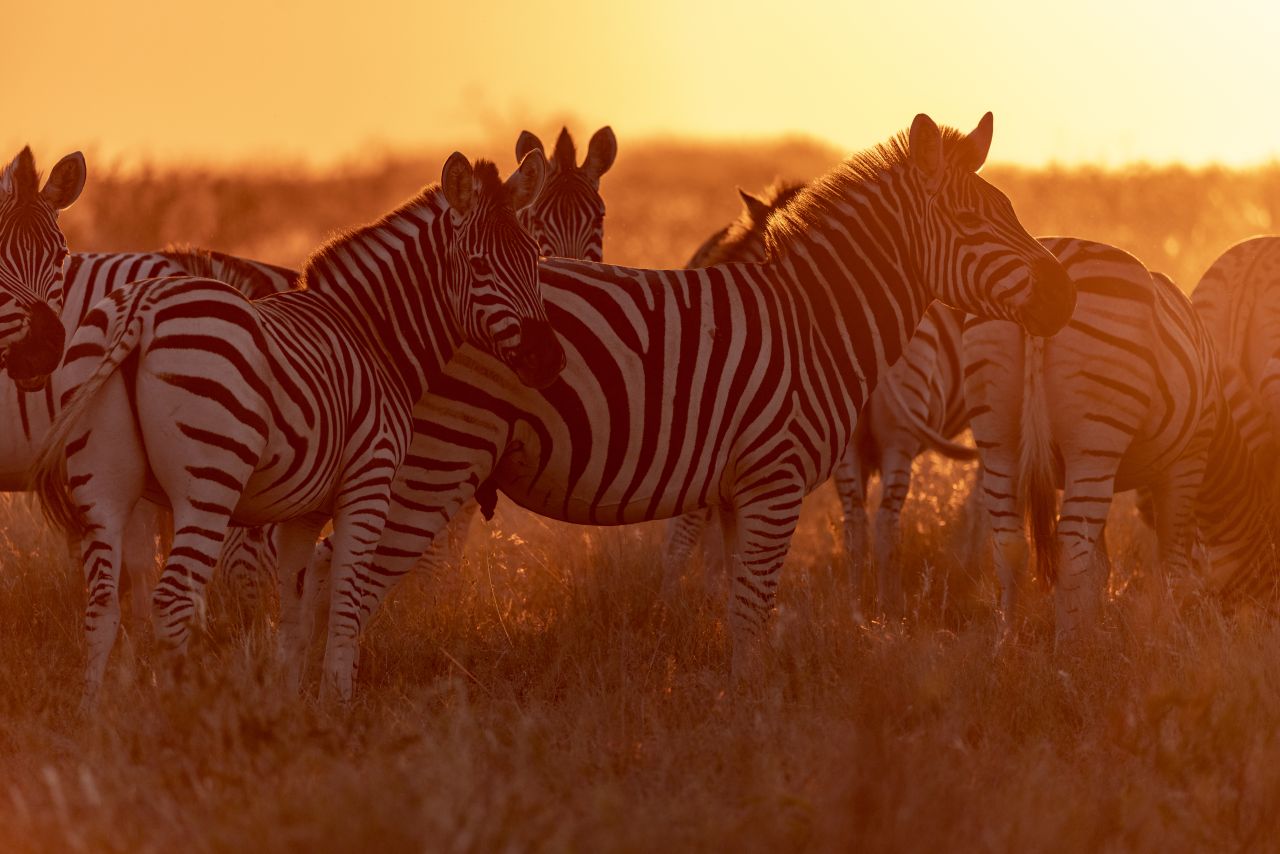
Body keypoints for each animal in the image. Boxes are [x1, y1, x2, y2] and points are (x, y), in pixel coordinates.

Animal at [32, 150, 563, 706]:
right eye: (479, 265)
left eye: (534, 258)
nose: (549, 358)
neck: (371, 335)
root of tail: (142, 308)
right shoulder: (368, 483)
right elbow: (346, 601)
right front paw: (337, 703)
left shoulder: (302, 510)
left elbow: (294, 609)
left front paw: (287, 701)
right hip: (209, 484)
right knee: (173, 597)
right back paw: (177, 710)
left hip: (105, 485)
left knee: (101, 602)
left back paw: (94, 711)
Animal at [962, 235, 1274, 640]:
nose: (1260, 628)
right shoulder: (1188, 460)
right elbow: (1172, 565)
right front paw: (1171, 634)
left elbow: (1100, 567)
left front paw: (1096, 623)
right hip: (1095, 442)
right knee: (1069, 546)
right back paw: (1070, 646)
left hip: (999, 439)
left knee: (1010, 543)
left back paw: (1009, 641)